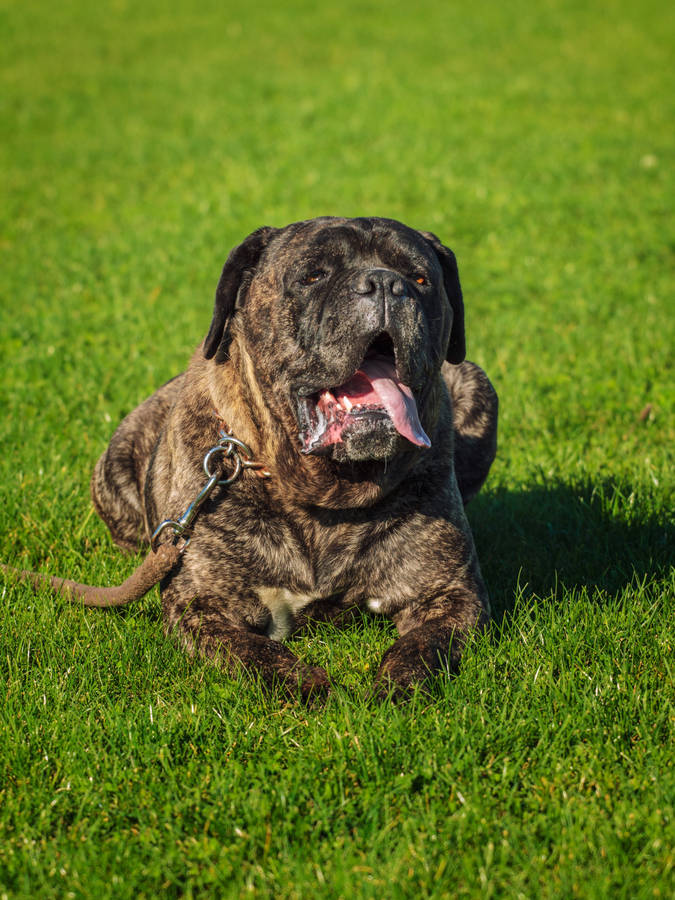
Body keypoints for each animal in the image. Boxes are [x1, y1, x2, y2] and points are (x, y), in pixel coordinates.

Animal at [90, 216, 500, 696]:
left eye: (420, 279)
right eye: (312, 276)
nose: (385, 283)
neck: (325, 493)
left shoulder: (451, 593)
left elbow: (422, 650)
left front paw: (393, 689)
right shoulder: (203, 604)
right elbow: (254, 653)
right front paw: (313, 687)